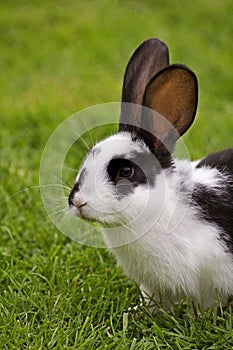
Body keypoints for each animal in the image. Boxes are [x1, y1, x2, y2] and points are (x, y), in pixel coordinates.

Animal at [68, 38, 233, 310]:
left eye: (126, 171)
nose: (78, 202)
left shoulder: (213, 278)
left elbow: (205, 306)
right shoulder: (153, 286)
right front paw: (141, 312)